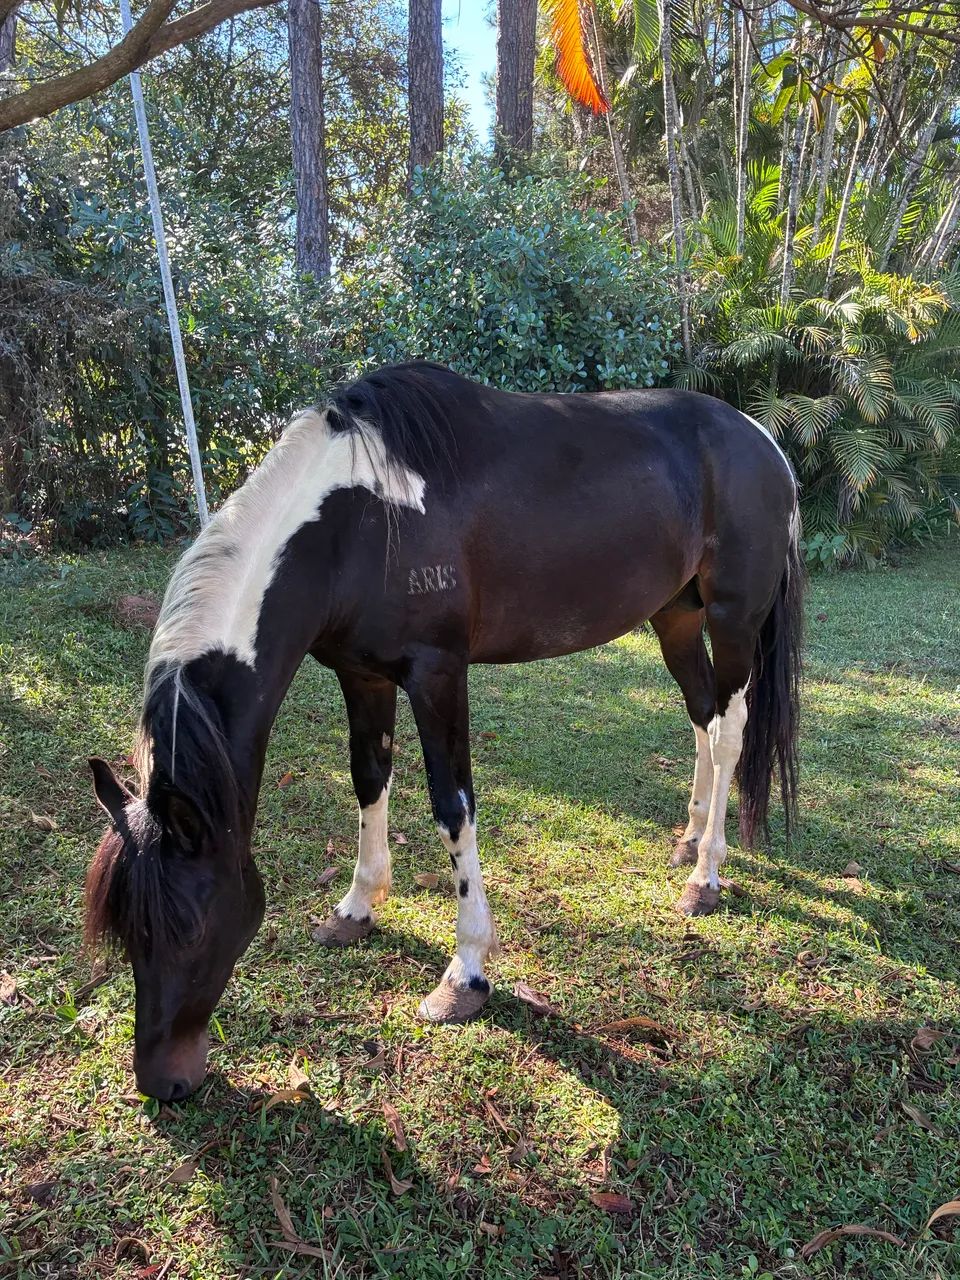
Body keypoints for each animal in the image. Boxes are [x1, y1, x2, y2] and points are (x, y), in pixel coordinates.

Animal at [85, 361, 802, 1102]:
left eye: (192, 928)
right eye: (126, 931)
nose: (161, 1082)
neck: (358, 522)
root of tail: (763, 442)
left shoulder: (436, 675)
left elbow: (452, 808)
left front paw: (466, 974)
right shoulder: (362, 675)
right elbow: (368, 779)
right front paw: (357, 907)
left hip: (732, 619)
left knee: (729, 730)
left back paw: (707, 875)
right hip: (675, 616)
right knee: (701, 717)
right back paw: (688, 838)